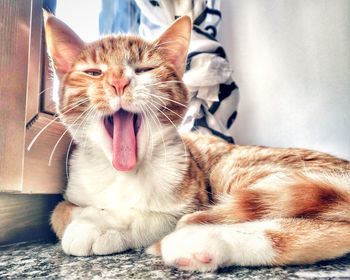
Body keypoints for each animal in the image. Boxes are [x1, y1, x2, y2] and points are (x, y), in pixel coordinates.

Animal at [44, 12, 350, 272]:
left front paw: (105, 224)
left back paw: (204, 241)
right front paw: (92, 215)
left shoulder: (193, 200)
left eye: (145, 69)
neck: (123, 174)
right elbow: (59, 212)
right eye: (94, 72)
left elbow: (156, 216)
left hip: (237, 169)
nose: (119, 82)